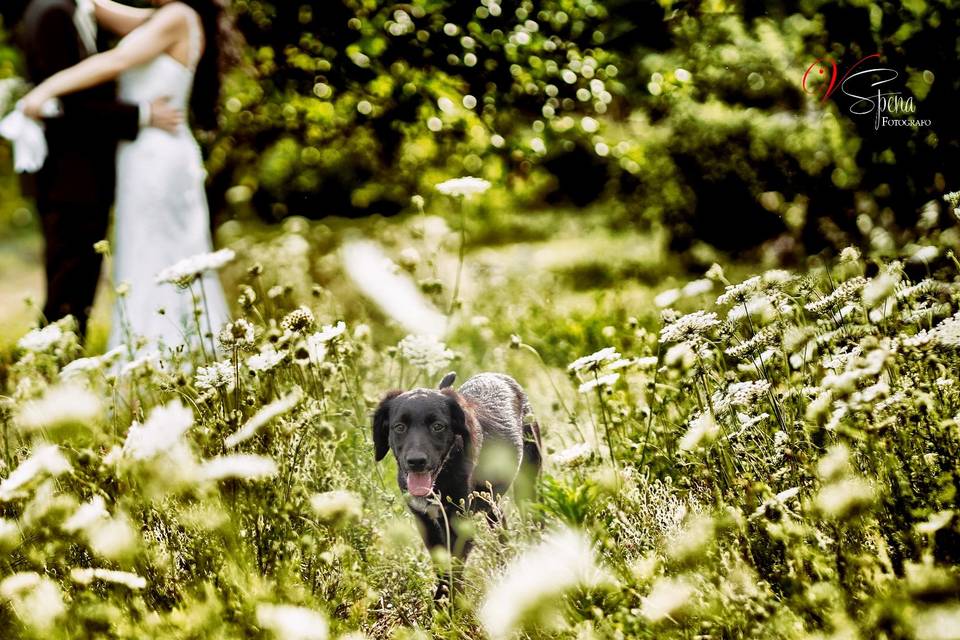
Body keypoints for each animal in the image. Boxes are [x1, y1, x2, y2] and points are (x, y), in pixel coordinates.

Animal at [374, 372, 540, 596]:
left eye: (438, 426)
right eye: (399, 427)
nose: (416, 461)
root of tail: (496, 374)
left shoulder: (459, 522)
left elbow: (453, 569)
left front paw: (451, 602)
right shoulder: (425, 521)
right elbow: (442, 566)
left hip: (528, 485)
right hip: (490, 500)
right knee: (500, 525)